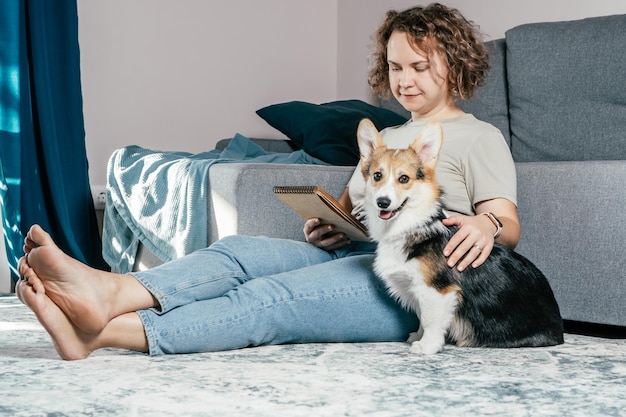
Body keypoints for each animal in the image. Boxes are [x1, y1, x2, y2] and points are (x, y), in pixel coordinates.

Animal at [354, 118, 564, 354]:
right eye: (377, 176)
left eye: (404, 178)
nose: (383, 202)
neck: (410, 226)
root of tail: (560, 331)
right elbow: (421, 316)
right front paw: (417, 335)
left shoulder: (437, 291)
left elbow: (430, 320)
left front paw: (427, 345)